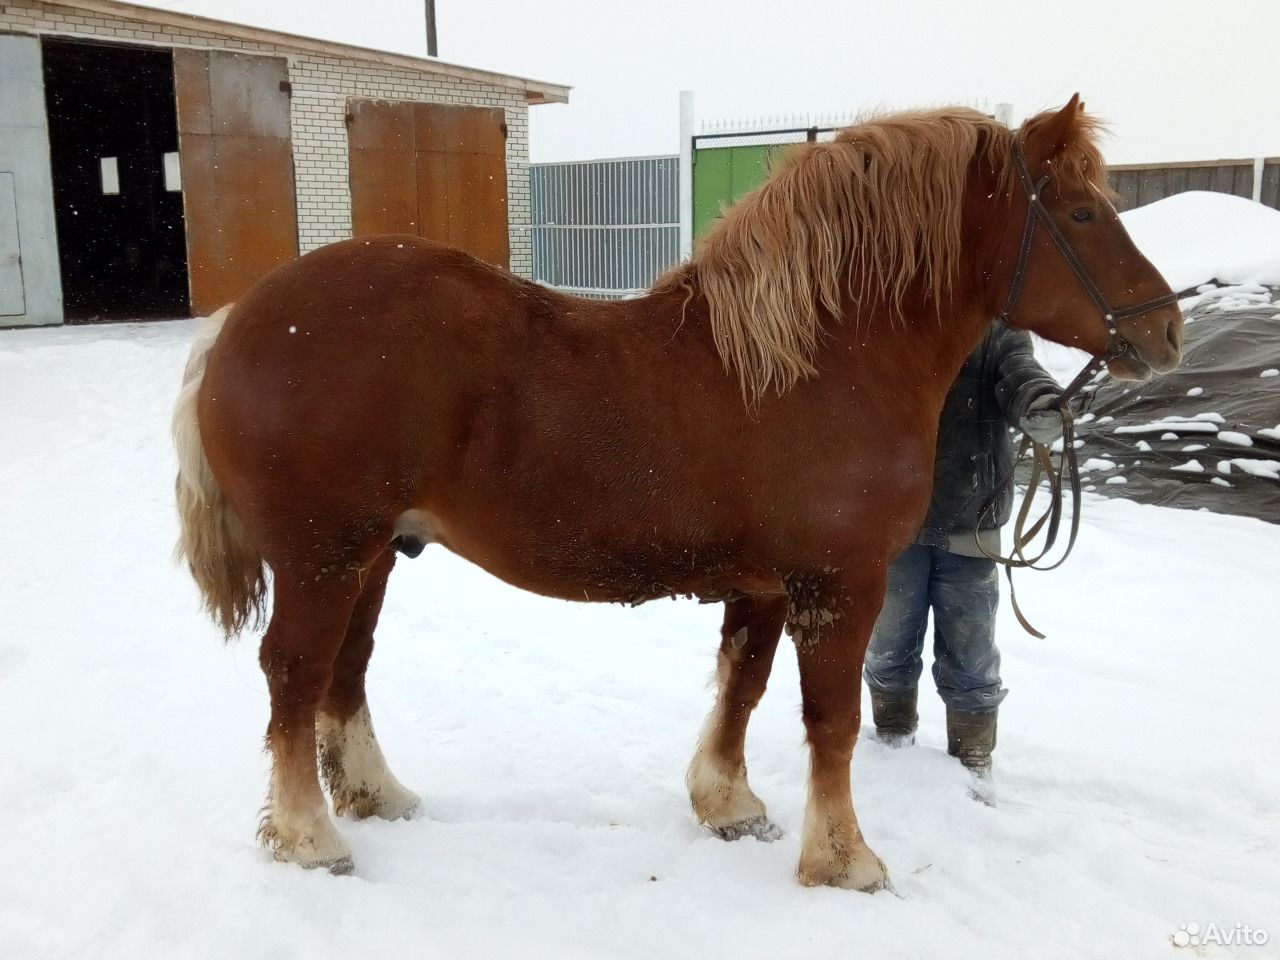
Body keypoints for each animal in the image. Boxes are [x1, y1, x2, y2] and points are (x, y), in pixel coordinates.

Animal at [172, 94, 1177, 890]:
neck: (814, 358)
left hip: (372, 554)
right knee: (295, 674)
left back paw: (376, 796)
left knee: (344, 672)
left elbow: (743, 688)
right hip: (322, 556)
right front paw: (845, 859)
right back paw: (309, 839)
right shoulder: (840, 582)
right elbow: (833, 720)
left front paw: (729, 805)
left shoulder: (767, 584)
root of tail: (239, 321)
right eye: (1082, 213)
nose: (1165, 332)